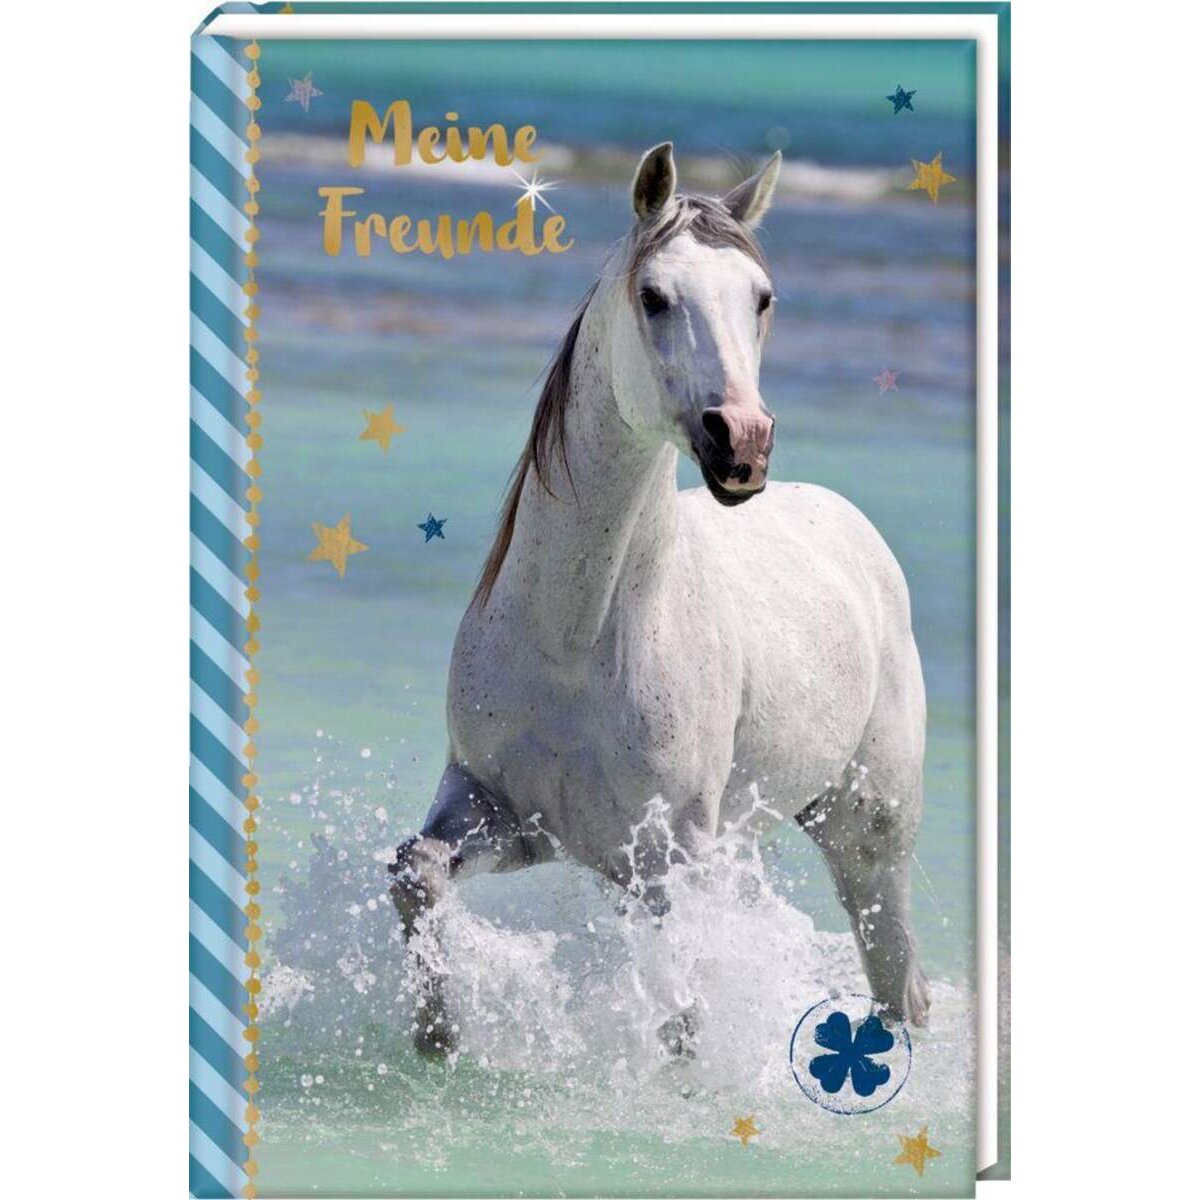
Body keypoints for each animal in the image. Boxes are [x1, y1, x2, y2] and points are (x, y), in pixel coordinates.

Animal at [389, 143, 930, 1057]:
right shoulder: (501, 811)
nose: (743, 442)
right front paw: (438, 1036)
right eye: (653, 296)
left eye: (762, 298)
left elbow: (683, 1019)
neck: (578, 641)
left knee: (898, 979)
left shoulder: (669, 862)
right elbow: (414, 875)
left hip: (866, 833)